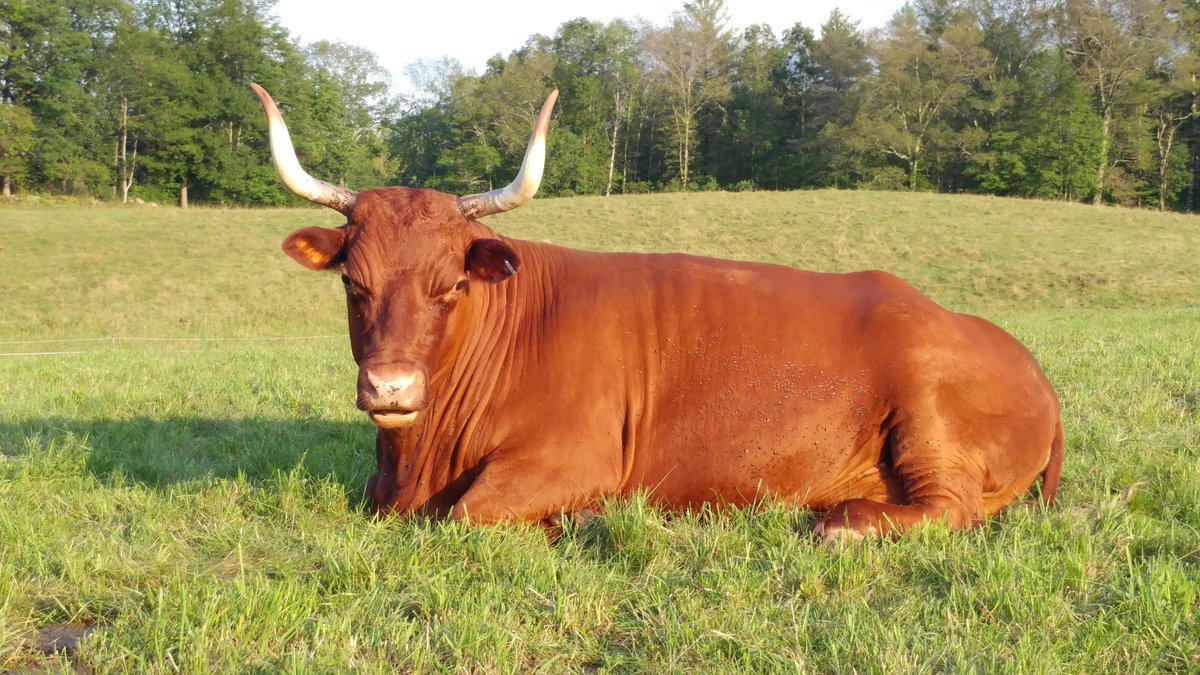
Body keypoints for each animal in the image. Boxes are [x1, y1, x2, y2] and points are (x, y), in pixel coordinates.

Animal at [250, 83, 1063, 542]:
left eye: (451, 286)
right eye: (352, 283)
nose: (390, 387)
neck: (414, 460)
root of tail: (1020, 356)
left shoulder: (574, 457)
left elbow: (467, 514)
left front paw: (587, 518)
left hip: (928, 414)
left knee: (951, 507)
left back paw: (843, 524)